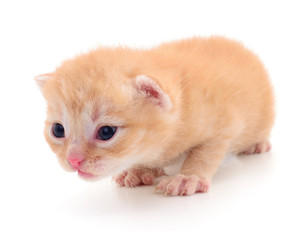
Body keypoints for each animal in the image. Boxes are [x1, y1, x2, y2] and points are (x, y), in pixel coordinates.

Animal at [35, 36, 276, 196]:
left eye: (106, 132)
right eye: (58, 130)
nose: (73, 160)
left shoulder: (224, 126)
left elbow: (204, 154)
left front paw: (188, 177)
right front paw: (138, 170)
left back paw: (257, 145)